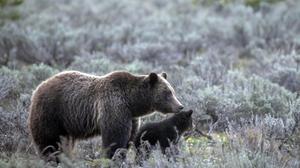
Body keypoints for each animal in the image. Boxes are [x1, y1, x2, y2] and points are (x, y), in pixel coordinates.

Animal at [28, 70, 184, 160]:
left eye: (173, 91)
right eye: (167, 93)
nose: (180, 106)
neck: (132, 102)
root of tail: (38, 87)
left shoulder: (131, 117)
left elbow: (128, 139)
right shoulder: (114, 107)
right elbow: (114, 139)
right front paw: (112, 157)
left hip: (66, 124)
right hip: (52, 112)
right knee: (49, 142)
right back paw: (51, 158)